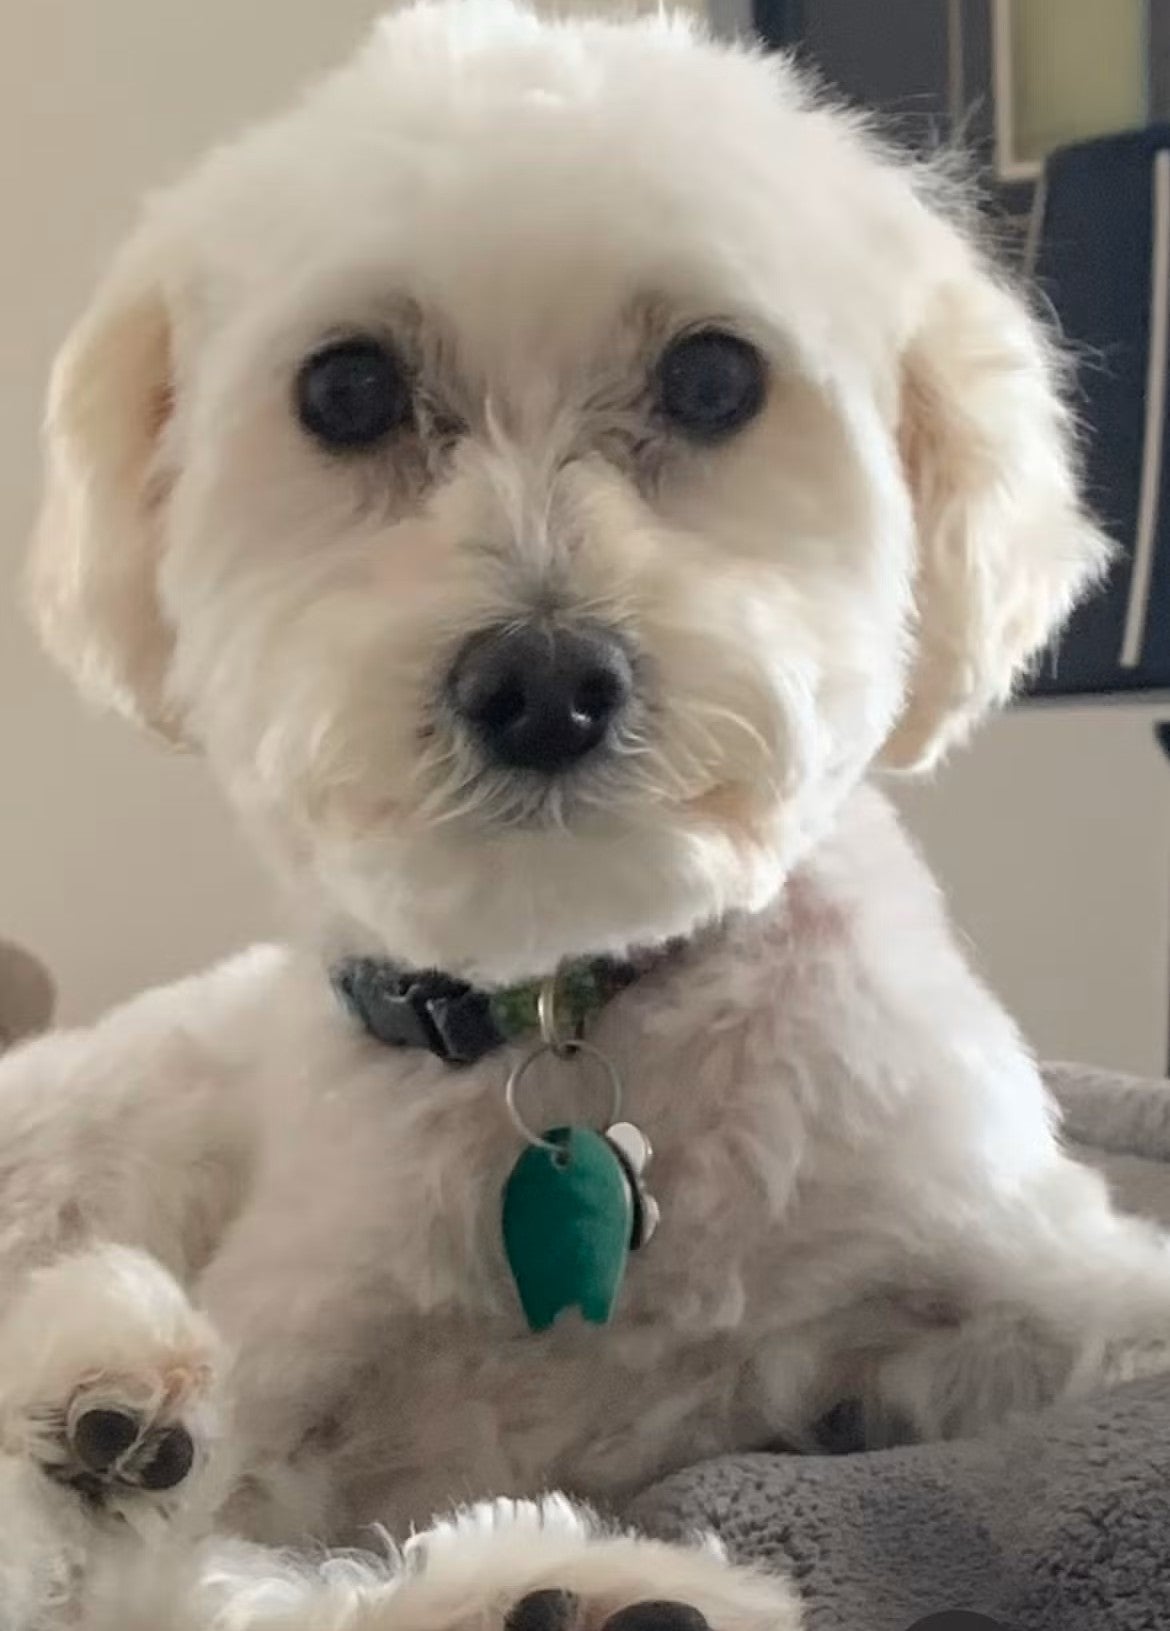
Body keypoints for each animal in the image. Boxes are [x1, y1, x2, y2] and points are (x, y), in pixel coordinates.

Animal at [0, 1, 1160, 1624]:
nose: (543, 685)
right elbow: (239, 1574)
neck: (569, 1010)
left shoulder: (1023, 1266)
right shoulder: (290, 1395)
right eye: (345, 390)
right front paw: (535, 1573)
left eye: (716, 378)